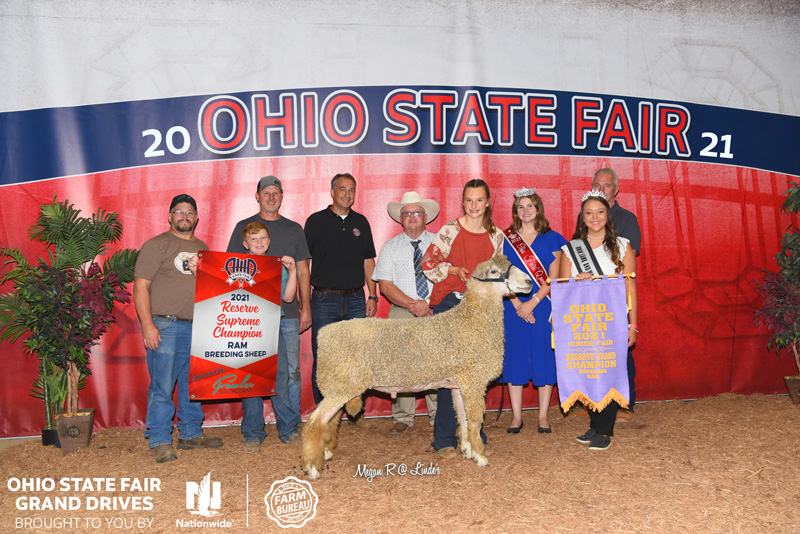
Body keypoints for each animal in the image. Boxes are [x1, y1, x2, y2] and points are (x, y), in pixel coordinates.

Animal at [300, 255, 532, 482]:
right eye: (494, 271)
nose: (529, 282)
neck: (472, 320)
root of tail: (324, 333)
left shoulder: (459, 383)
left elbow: (463, 418)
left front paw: (467, 450)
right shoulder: (473, 379)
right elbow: (475, 420)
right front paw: (481, 456)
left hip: (338, 384)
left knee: (330, 421)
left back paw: (327, 453)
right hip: (341, 384)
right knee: (314, 422)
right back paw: (312, 468)